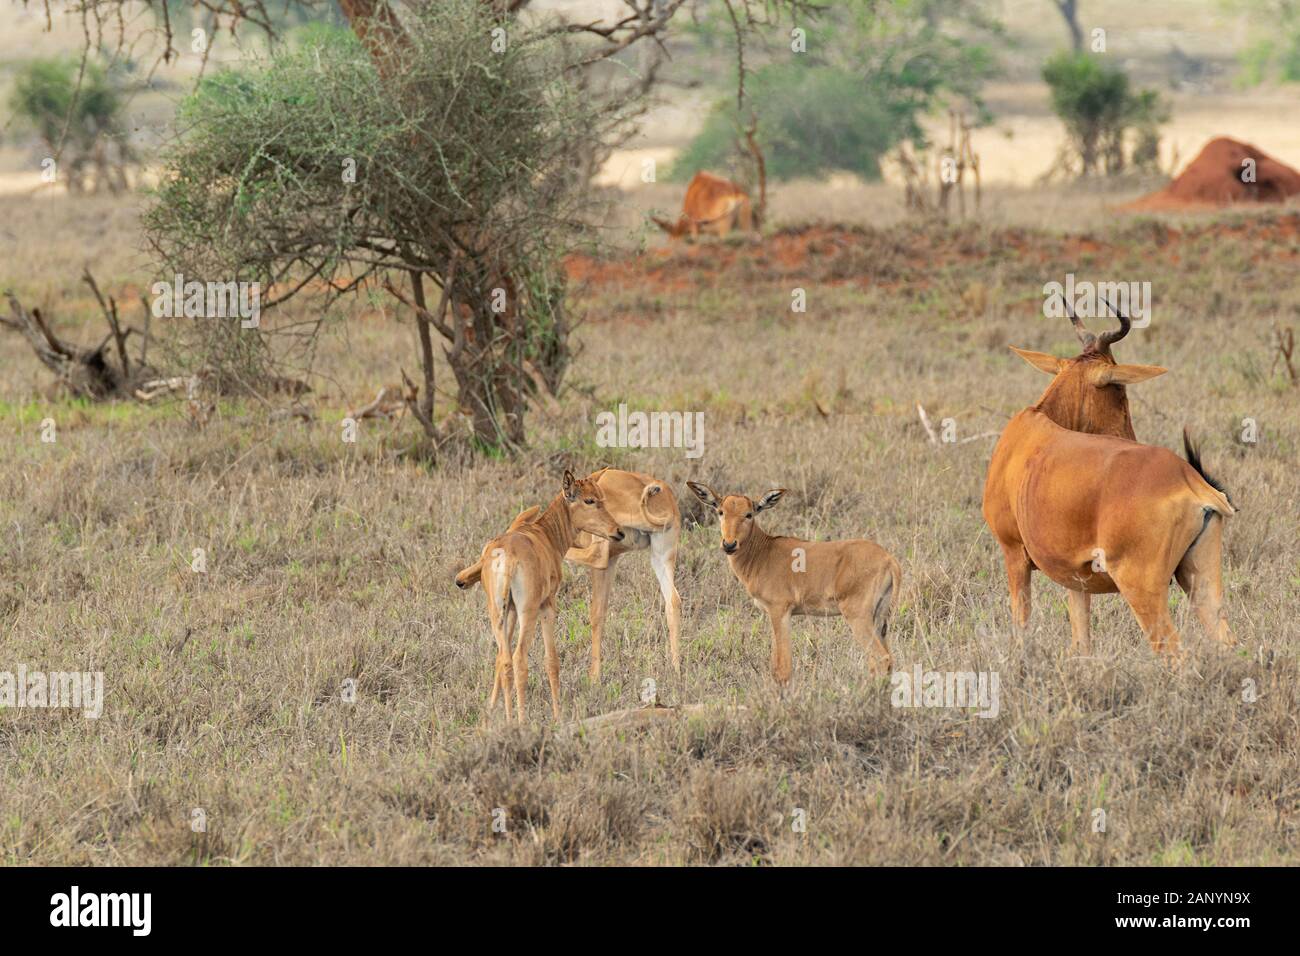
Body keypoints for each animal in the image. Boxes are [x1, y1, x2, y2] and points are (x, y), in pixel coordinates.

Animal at [478, 470, 624, 717]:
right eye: (589, 500)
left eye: (602, 497)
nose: (619, 531)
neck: (544, 535)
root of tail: (506, 555)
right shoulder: (548, 605)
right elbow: (552, 660)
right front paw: (558, 716)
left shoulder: (511, 611)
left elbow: (500, 660)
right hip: (528, 612)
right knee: (519, 658)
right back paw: (522, 720)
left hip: (497, 612)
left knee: (505, 660)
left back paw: (508, 720)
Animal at [686, 486, 899, 681]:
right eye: (720, 511)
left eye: (749, 514)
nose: (729, 544)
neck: (764, 551)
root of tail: (889, 559)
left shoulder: (780, 611)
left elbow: (782, 668)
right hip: (879, 619)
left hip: (857, 616)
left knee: (881, 658)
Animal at [982, 306, 1237, 658]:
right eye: (1120, 391)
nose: (1130, 436)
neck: (1031, 428)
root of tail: (1189, 480)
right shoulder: (1076, 577)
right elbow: (1081, 640)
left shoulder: (1013, 553)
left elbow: (1021, 628)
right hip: (1200, 580)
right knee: (1228, 641)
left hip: (1140, 587)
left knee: (1174, 652)